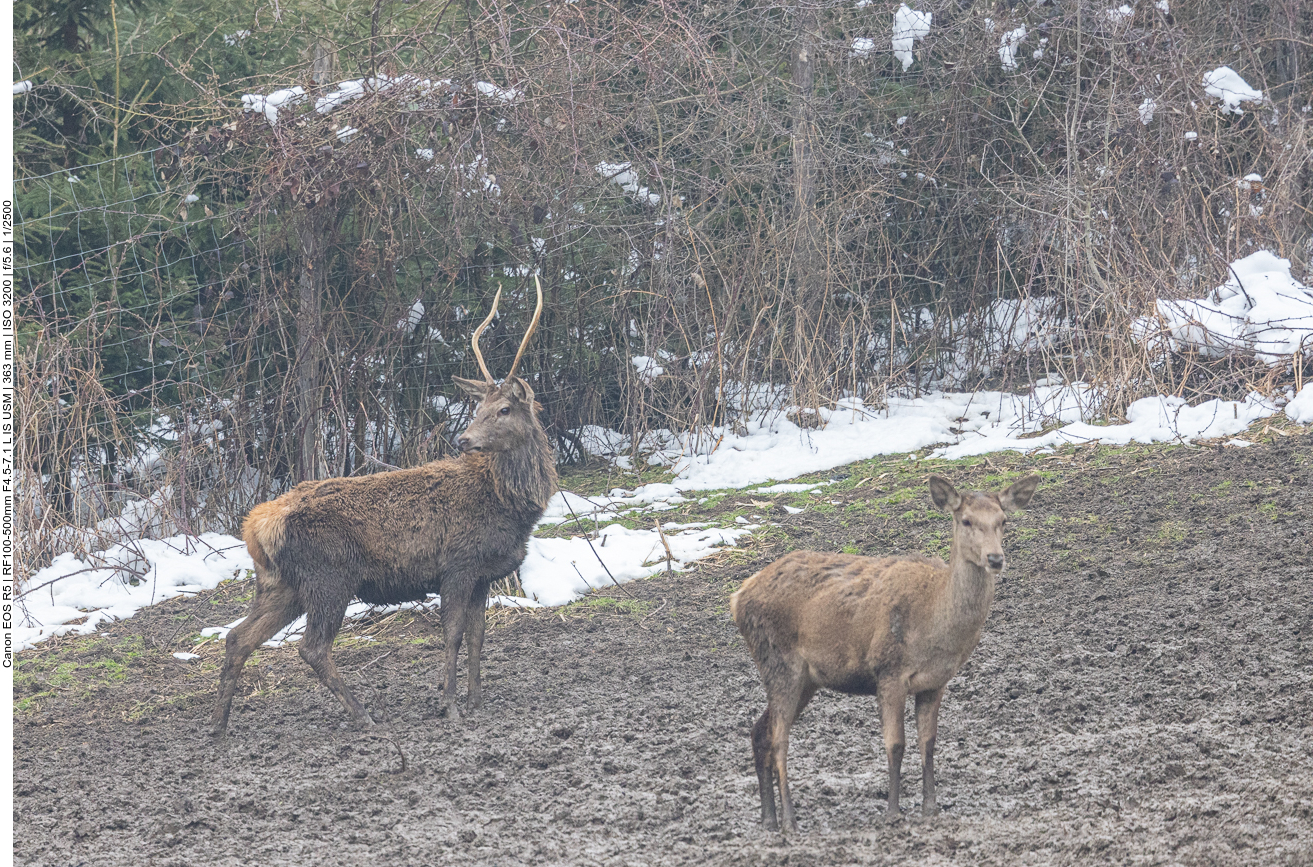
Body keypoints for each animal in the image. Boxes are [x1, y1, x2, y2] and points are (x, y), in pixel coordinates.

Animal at [211, 277, 557, 734]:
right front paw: (450, 705)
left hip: (280, 584)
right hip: (329, 576)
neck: (510, 507)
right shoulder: (458, 565)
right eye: (479, 407)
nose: (463, 439)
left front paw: (476, 700)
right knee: (311, 647)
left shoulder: (484, 575)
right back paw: (364, 715)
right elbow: (453, 635)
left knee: (238, 637)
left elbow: (479, 636)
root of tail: (255, 526)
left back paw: (217, 727)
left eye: (503, 408)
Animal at [730, 473, 1039, 831]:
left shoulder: (936, 682)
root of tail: (737, 597)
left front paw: (931, 807)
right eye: (966, 520)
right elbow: (895, 743)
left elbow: (928, 743)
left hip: (806, 678)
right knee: (779, 739)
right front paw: (893, 811)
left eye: (1003, 520)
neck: (935, 624)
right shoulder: (888, 670)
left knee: (760, 731)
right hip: (779, 660)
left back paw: (768, 819)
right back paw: (790, 821)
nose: (995, 558)